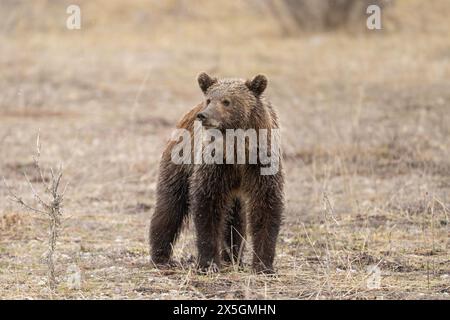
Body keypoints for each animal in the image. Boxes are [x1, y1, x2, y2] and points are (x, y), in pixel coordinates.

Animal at [150, 73, 284, 276]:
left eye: (226, 101)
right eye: (209, 99)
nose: (204, 115)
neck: (238, 150)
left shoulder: (261, 164)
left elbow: (266, 206)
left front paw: (263, 265)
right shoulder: (215, 165)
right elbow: (207, 205)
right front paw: (209, 264)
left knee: (235, 217)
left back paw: (233, 257)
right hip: (180, 161)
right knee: (170, 206)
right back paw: (161, 258)